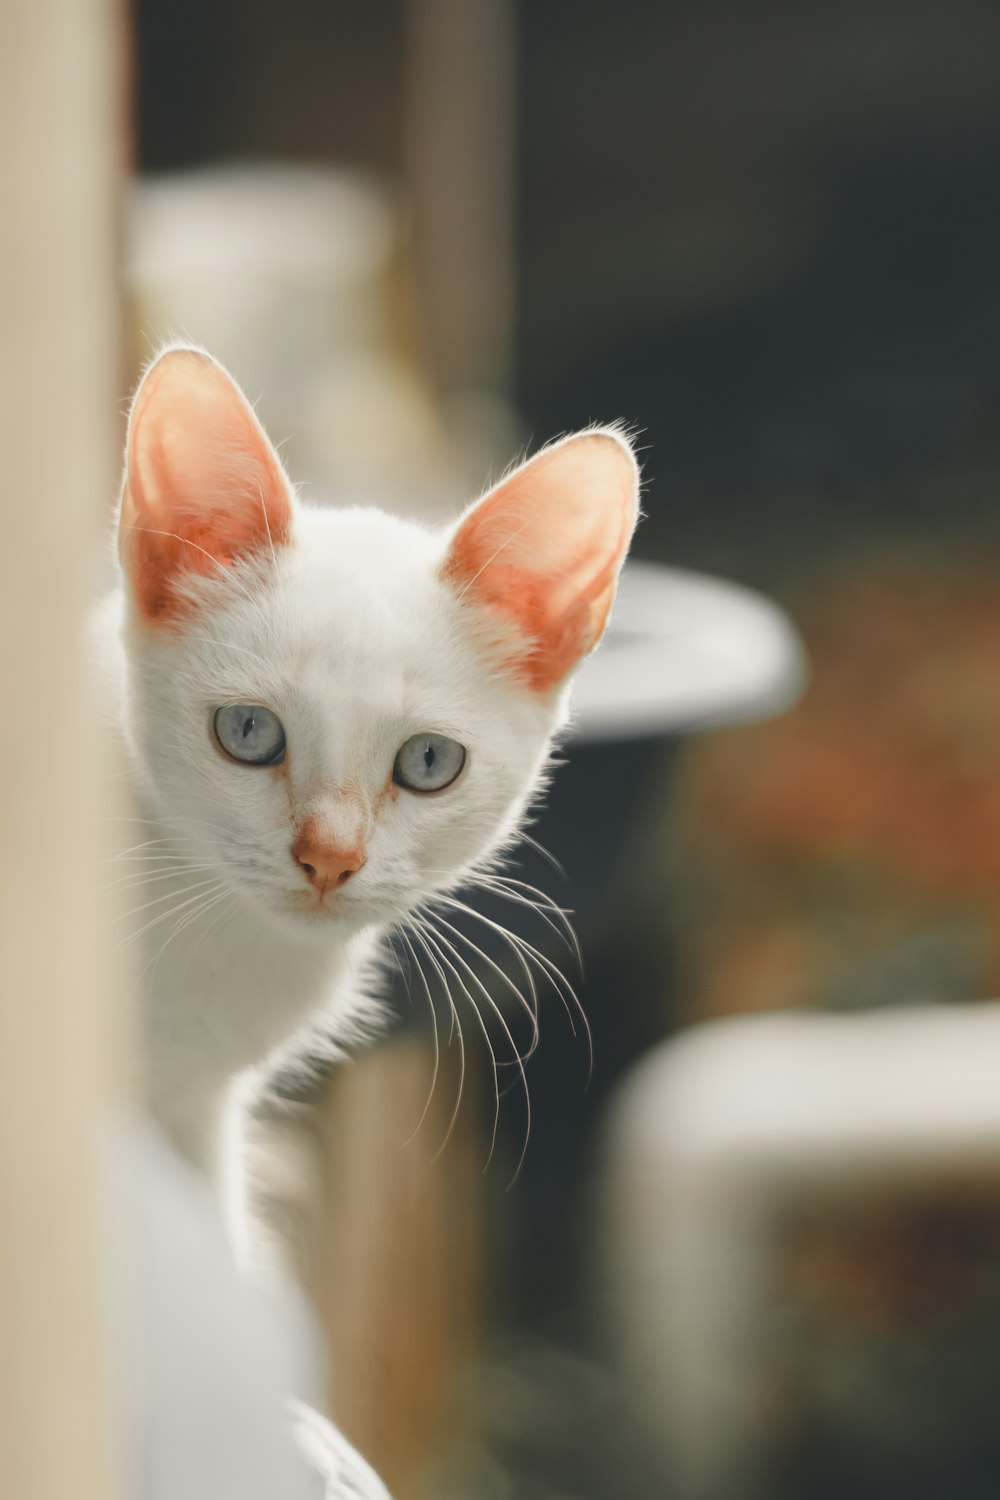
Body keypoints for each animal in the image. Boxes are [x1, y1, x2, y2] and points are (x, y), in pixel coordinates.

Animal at [95, 345, 641, 1494]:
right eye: (247, 733)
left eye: (428, 762)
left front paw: (274, 1428)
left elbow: (202, 1228)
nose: (328, 859)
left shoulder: (192, 1100)